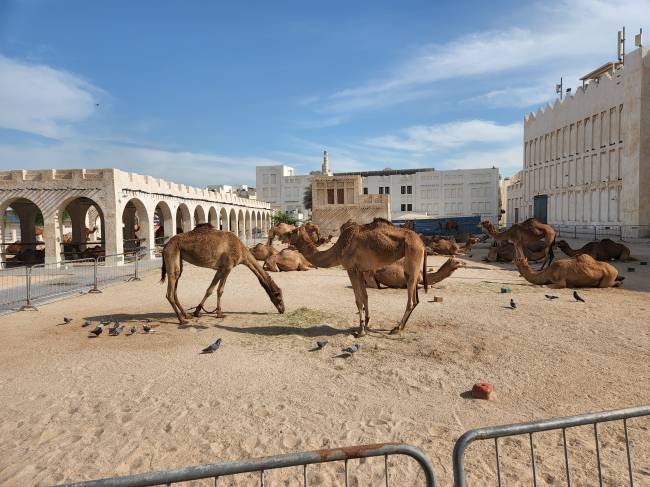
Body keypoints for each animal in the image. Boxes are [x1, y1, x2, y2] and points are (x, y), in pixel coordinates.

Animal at [286, 219, 428, 338]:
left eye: (292, 232)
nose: (285, 235)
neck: (338, 249)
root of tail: (422, 243)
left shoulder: (351, 269)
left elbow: (358, 300)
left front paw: (361, 331)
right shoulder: (359, 270)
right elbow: (365, 296)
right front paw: (366, 323)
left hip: (413, 254)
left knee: (411, 300)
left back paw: (397, 328)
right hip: (411, 264)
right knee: (416, 298)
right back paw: (401, 327)